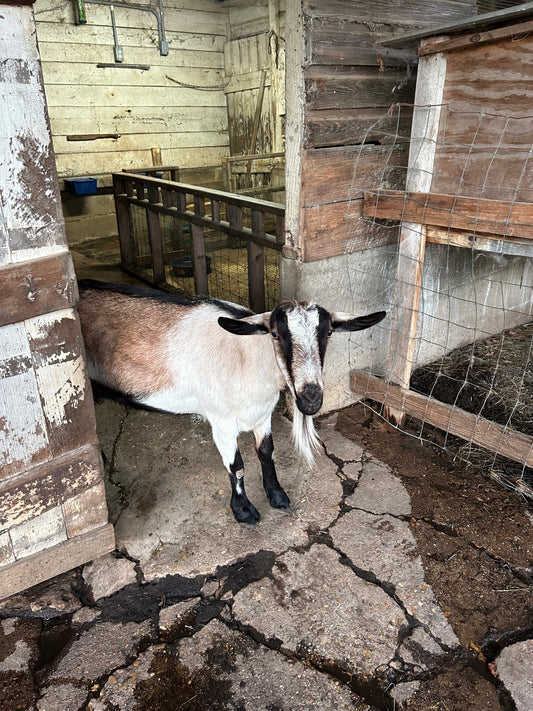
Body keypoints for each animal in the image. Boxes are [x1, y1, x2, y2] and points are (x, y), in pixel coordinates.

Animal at [79, 280, 384, 524]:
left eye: (328, 332)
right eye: (275, 334)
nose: (310, 398)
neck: (247, 359)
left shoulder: (263, 414)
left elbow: (266, 452)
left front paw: (277, 496)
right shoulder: (221, 421)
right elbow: (236, 466)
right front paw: (244, 511)